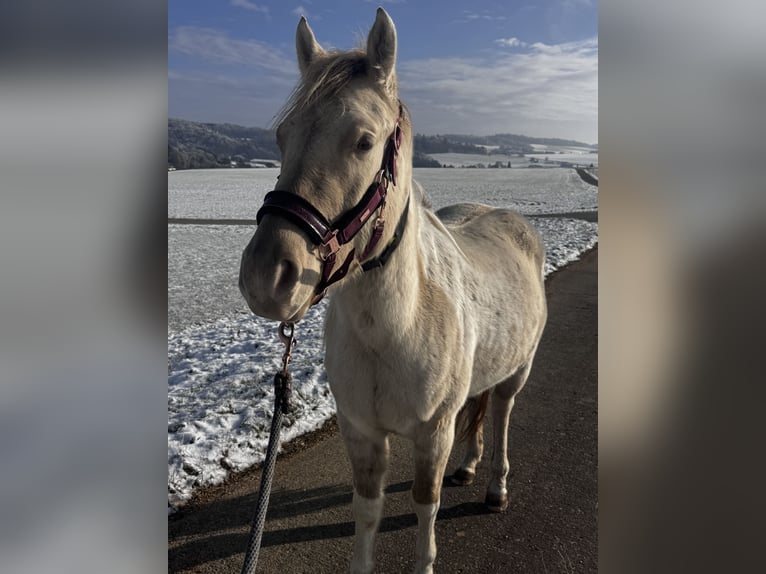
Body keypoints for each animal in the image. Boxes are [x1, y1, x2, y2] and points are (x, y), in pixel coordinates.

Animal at [239, 9, 547, 573]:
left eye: (364, 141)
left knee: (500, 414)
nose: (266, 277)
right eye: (281, 137)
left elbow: (426, 508)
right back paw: (469, 467)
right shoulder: (361, 433)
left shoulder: (432, 435)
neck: (395, 327)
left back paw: (495, 486)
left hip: (518, 372)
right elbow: (367, 511)